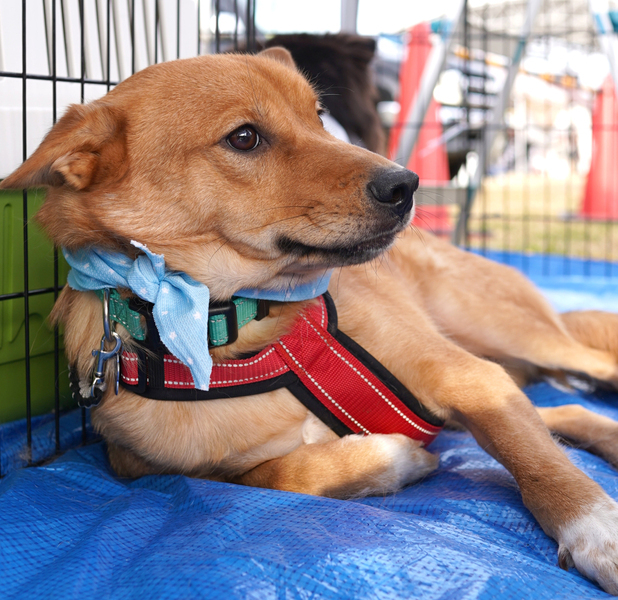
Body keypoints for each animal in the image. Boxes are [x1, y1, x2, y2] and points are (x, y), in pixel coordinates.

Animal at [2, 47, 618, 594]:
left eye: (318, 117)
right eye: (244, 137)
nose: (406, 184)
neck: (234, 324)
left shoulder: (468, 379)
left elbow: (541, 466)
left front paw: (597, 530)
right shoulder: (139, 464)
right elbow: (272, 474)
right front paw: (386, 460)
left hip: (501, 333)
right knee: (559, 414)